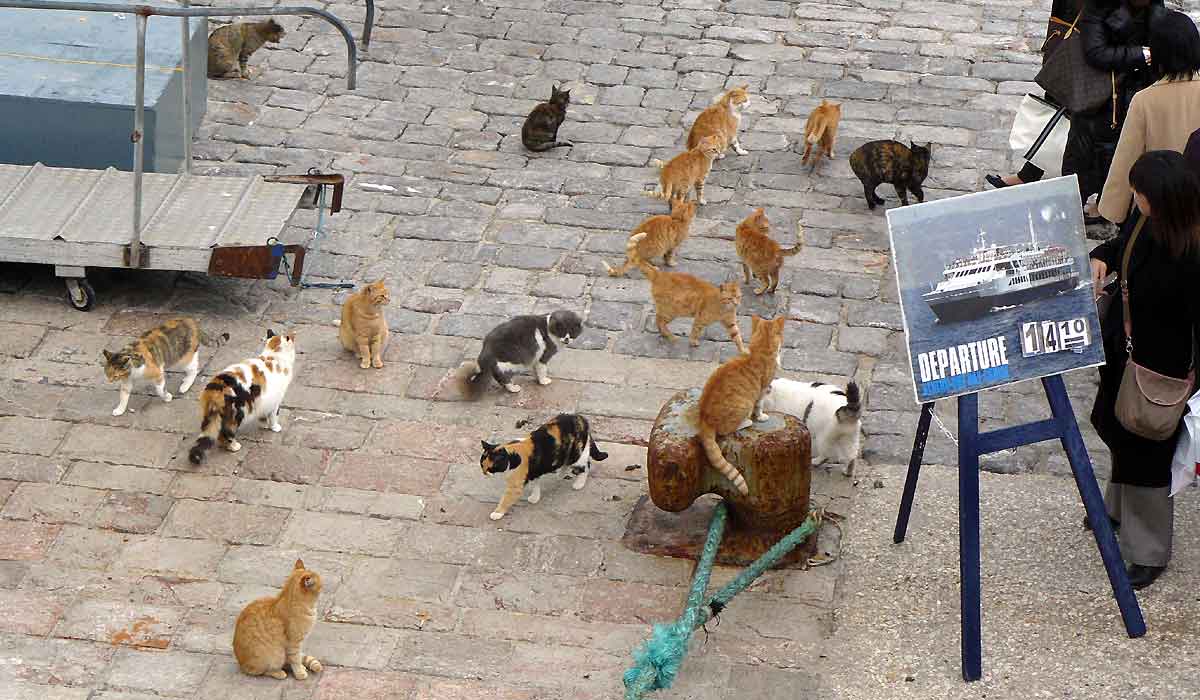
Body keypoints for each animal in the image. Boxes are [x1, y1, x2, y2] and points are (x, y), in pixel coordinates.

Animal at [190, 328, 298, 465]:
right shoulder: (275, 400)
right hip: (236, 413)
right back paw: (233, 446)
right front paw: (274, 427)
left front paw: (263, 423)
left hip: (212, 414)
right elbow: (274, 416)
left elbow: (264, 414)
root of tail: (216, 387)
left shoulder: (263, 399)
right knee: (225, 434)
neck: (273, 355)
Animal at [451, 309, 583, 396]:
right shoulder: (543, 356)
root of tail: (486, 348)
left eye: (572, 333)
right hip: (513, 363)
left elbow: (536, 370)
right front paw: (543, 381)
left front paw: (537, 378)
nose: (567, 339)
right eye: (562, 332)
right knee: (503, 377)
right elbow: (542, 370)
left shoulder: (536, 358)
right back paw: (513, 388)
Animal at [480, 410, 609, 521]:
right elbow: (536, 484)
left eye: (491, 468)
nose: (484, 473)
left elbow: (506, 499)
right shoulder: (534, 471)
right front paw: (535, 498)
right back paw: (560, 474)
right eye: (481, 465)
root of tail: (581, 418)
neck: (514, 457)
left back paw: (579, 484)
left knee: (586, 465)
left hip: (576, 454)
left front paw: (497, 513)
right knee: (566, 463)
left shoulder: (515, 486)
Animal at [696, 314, 787, 494]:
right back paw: (747, 421)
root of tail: (705, 419)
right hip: (744, 406)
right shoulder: (762, 390)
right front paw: (761, 416)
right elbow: (760, 406)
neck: (760, 350)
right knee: (727, 429)